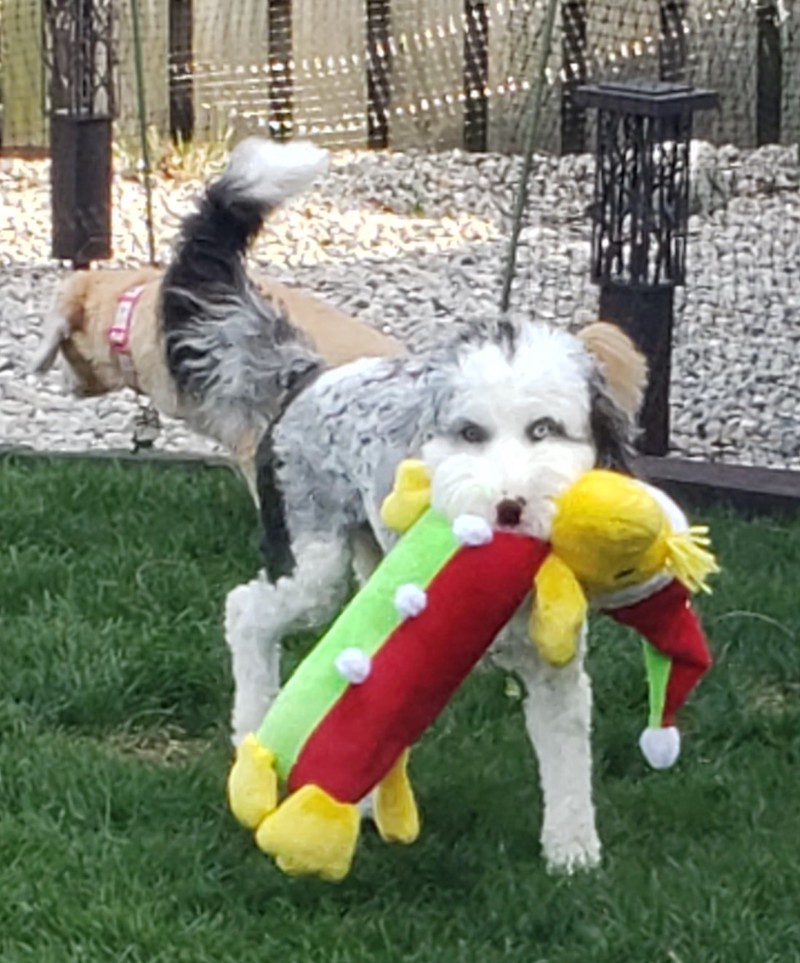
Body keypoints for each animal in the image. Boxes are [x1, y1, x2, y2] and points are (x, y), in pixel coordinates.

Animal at [162, 141, 648, 872]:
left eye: (544, 430)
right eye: (470, 433)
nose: (508, 507)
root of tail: (307, 375)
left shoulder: (558, 670)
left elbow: (566, 761)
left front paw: (572, 850)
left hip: (368, 565)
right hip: (312, 566)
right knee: (246, 611)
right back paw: (251, 730)